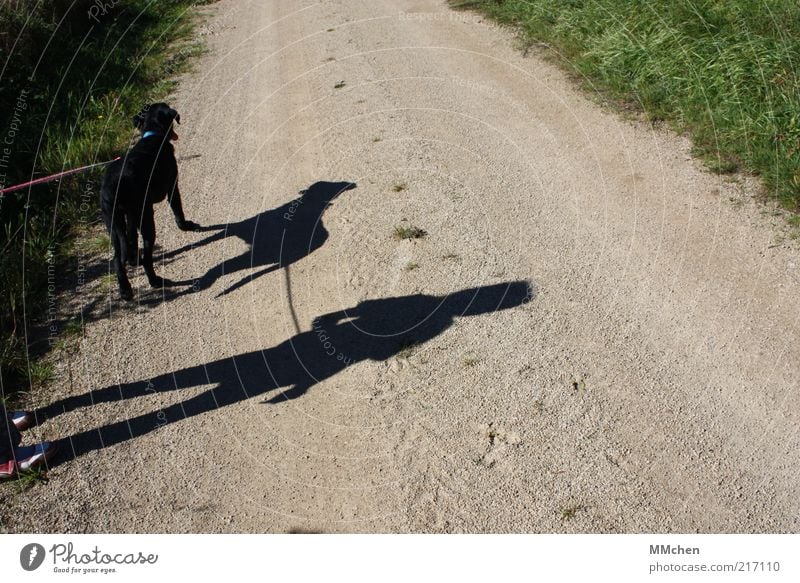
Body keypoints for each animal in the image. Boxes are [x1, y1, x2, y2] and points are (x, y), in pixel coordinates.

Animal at [100, 103, 200, 302]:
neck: (152, 135)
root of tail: (115, 186)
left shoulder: (128, 218)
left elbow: (130, 241)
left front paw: (132, 260)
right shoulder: (172, 186)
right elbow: (178, 210)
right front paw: (186, 226)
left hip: (114, 223)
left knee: (117, 258)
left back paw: (125, 290)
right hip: (145, 216)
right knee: (147, 257)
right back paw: (155, 281)